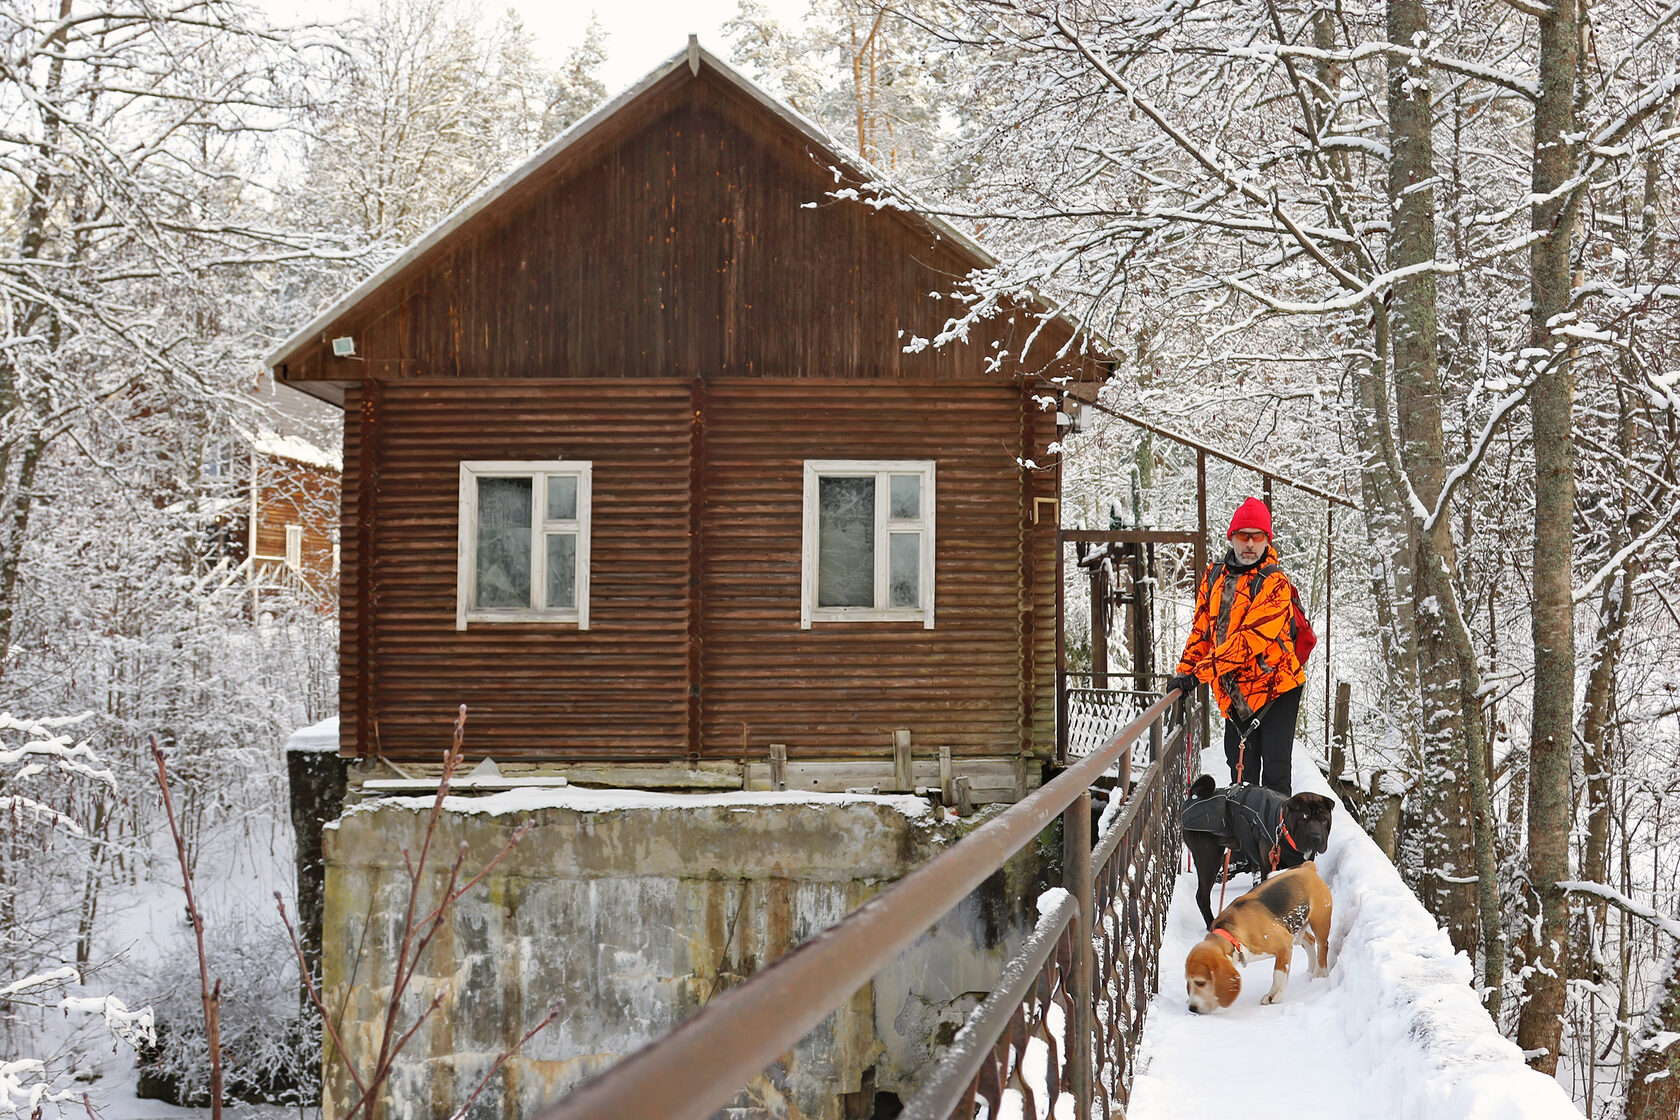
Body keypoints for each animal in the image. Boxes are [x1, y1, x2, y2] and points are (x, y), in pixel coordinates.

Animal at [1182, 779, 1337, 926]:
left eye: (1324, 819)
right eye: (1303, 818)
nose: (1316, 837)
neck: (1284, 831)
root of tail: (1194, 797)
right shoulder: (1268, 866)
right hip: (1208, 858)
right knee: (1202, 896)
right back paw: (1211, 923)